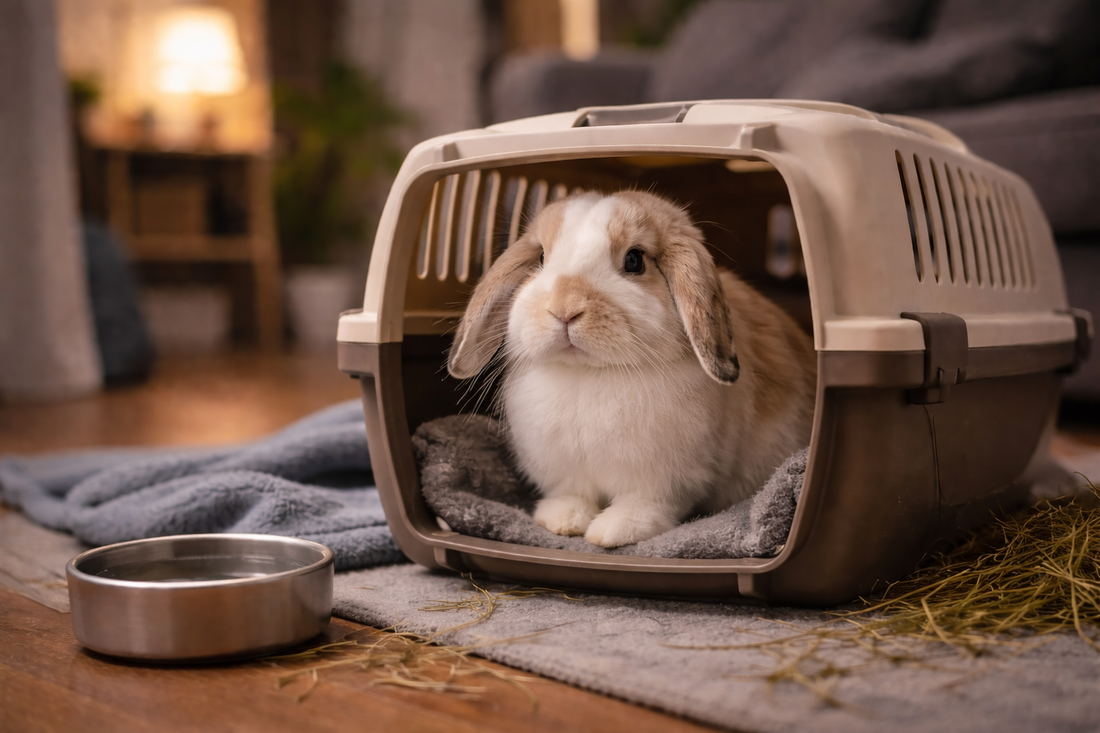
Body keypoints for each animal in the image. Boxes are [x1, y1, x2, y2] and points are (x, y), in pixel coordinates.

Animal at [448, 190, 816, 548]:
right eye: (540, 258)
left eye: (634, 260)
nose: (564, 309)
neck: (590, 374)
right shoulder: (566, 474)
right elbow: (571, 495)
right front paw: (564, 522)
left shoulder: (667, 481)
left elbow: (645, 505)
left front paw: (612, 532)